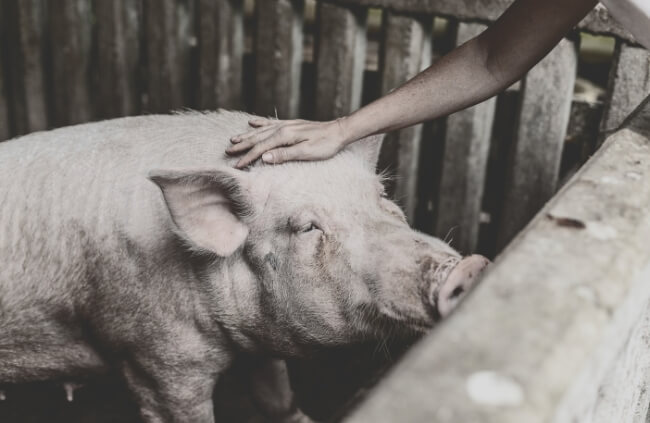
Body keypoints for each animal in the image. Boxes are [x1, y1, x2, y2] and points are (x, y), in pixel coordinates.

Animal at [0, 111, 486, 422]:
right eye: (306, 227)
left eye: (382, 197)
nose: (466, 268)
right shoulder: (152, 358)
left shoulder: (260, 334)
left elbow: (277, 400)